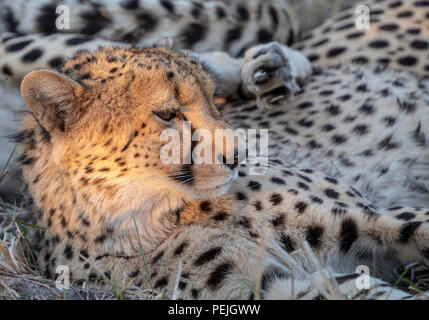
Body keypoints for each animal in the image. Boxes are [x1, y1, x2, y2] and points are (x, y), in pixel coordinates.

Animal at [0, 0, 428, 300]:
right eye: (168, 114)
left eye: (213, 99)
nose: (240, 154)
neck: (139, 213)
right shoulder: (265, 281)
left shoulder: (368, 218)